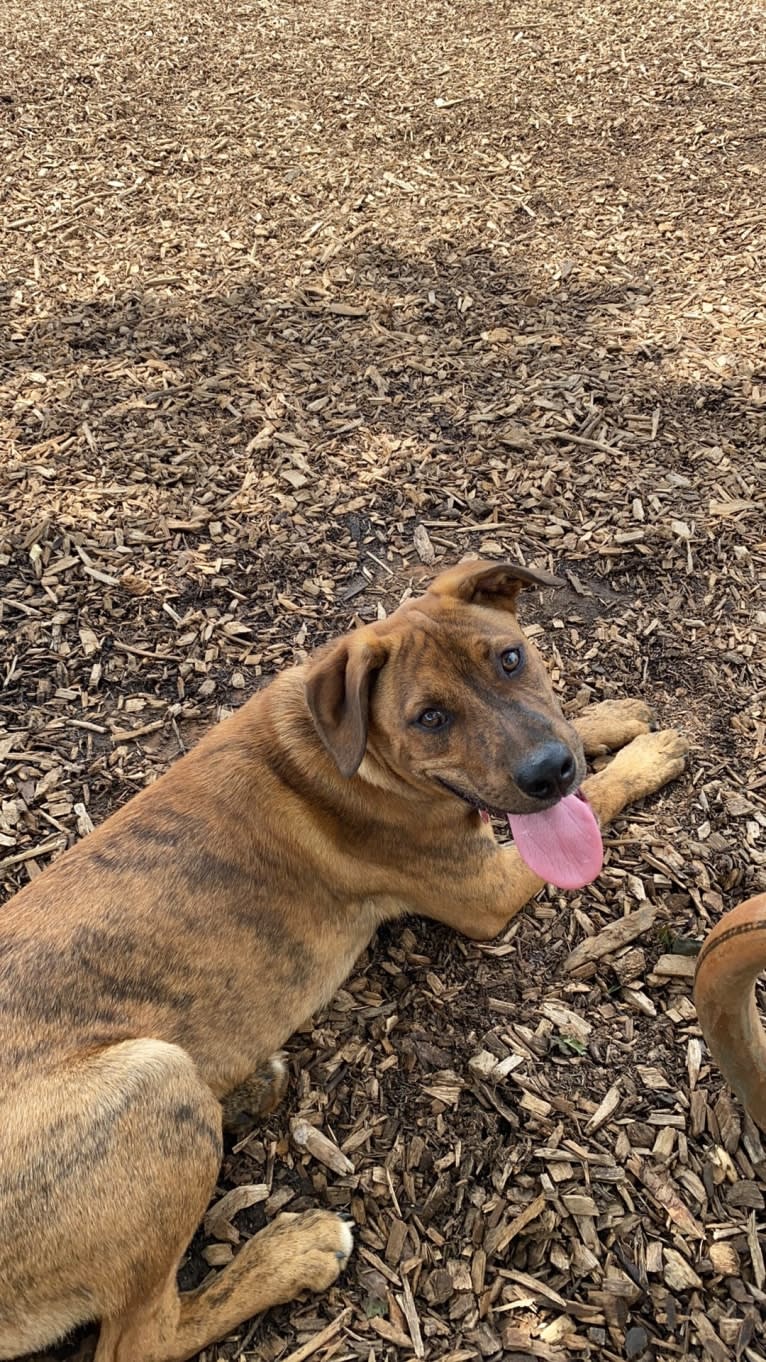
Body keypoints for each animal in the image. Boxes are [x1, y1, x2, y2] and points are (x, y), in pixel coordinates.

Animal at [0, 558, 678, 1356]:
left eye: (511, 659)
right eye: (430, 718)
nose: (548, 772)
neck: (342, 751)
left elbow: (582, 745)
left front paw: (612, 718)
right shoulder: (486, 888)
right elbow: (601, 795)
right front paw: (647, 755)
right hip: (150, 1081)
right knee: (143, 1339)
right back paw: (295, 1251)